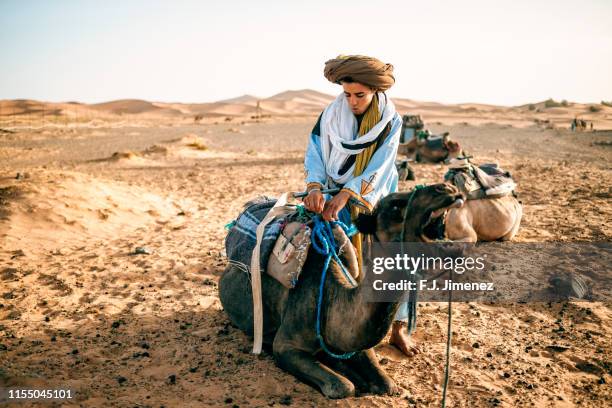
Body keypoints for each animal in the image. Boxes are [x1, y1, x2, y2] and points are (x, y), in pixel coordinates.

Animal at [220, 183, 464, 396]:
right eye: (395, 205)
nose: (446, 188)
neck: (331, 298)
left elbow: (388, 384)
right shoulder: (286, 345)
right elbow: (342, 386)